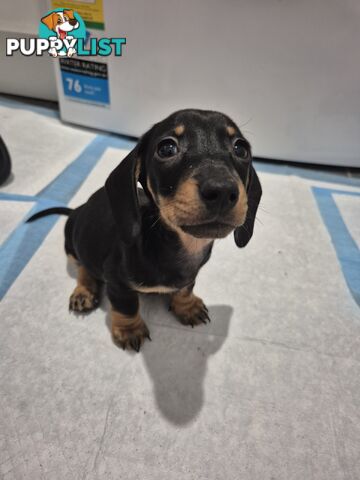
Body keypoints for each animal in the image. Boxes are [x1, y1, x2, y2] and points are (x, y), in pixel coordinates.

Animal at [26, 109, 262, 350]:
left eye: (241, 148)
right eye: (167, 148)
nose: (221, 191)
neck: (178, 245)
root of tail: (77, 208)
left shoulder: (190, 276)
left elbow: (186, 288)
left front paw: (187, 306)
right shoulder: (117, 282)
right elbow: (126, 306)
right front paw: (130, 330)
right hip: (72, 243)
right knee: (83, 266)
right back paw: (84, 291)